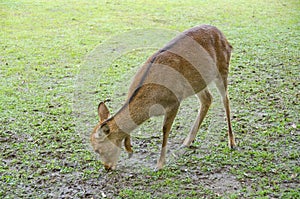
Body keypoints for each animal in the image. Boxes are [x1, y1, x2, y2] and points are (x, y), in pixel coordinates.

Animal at [90, 24, 236, 171]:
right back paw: (187, 142)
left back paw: (232, 143)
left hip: (223, 69)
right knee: (207, 99)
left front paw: (159, 164)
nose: (107, 167)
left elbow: (165, 130)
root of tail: (225, 38)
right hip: (198, 82)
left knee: (225, 100)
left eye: (98, 150)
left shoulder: (174, 101)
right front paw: (130, 150)